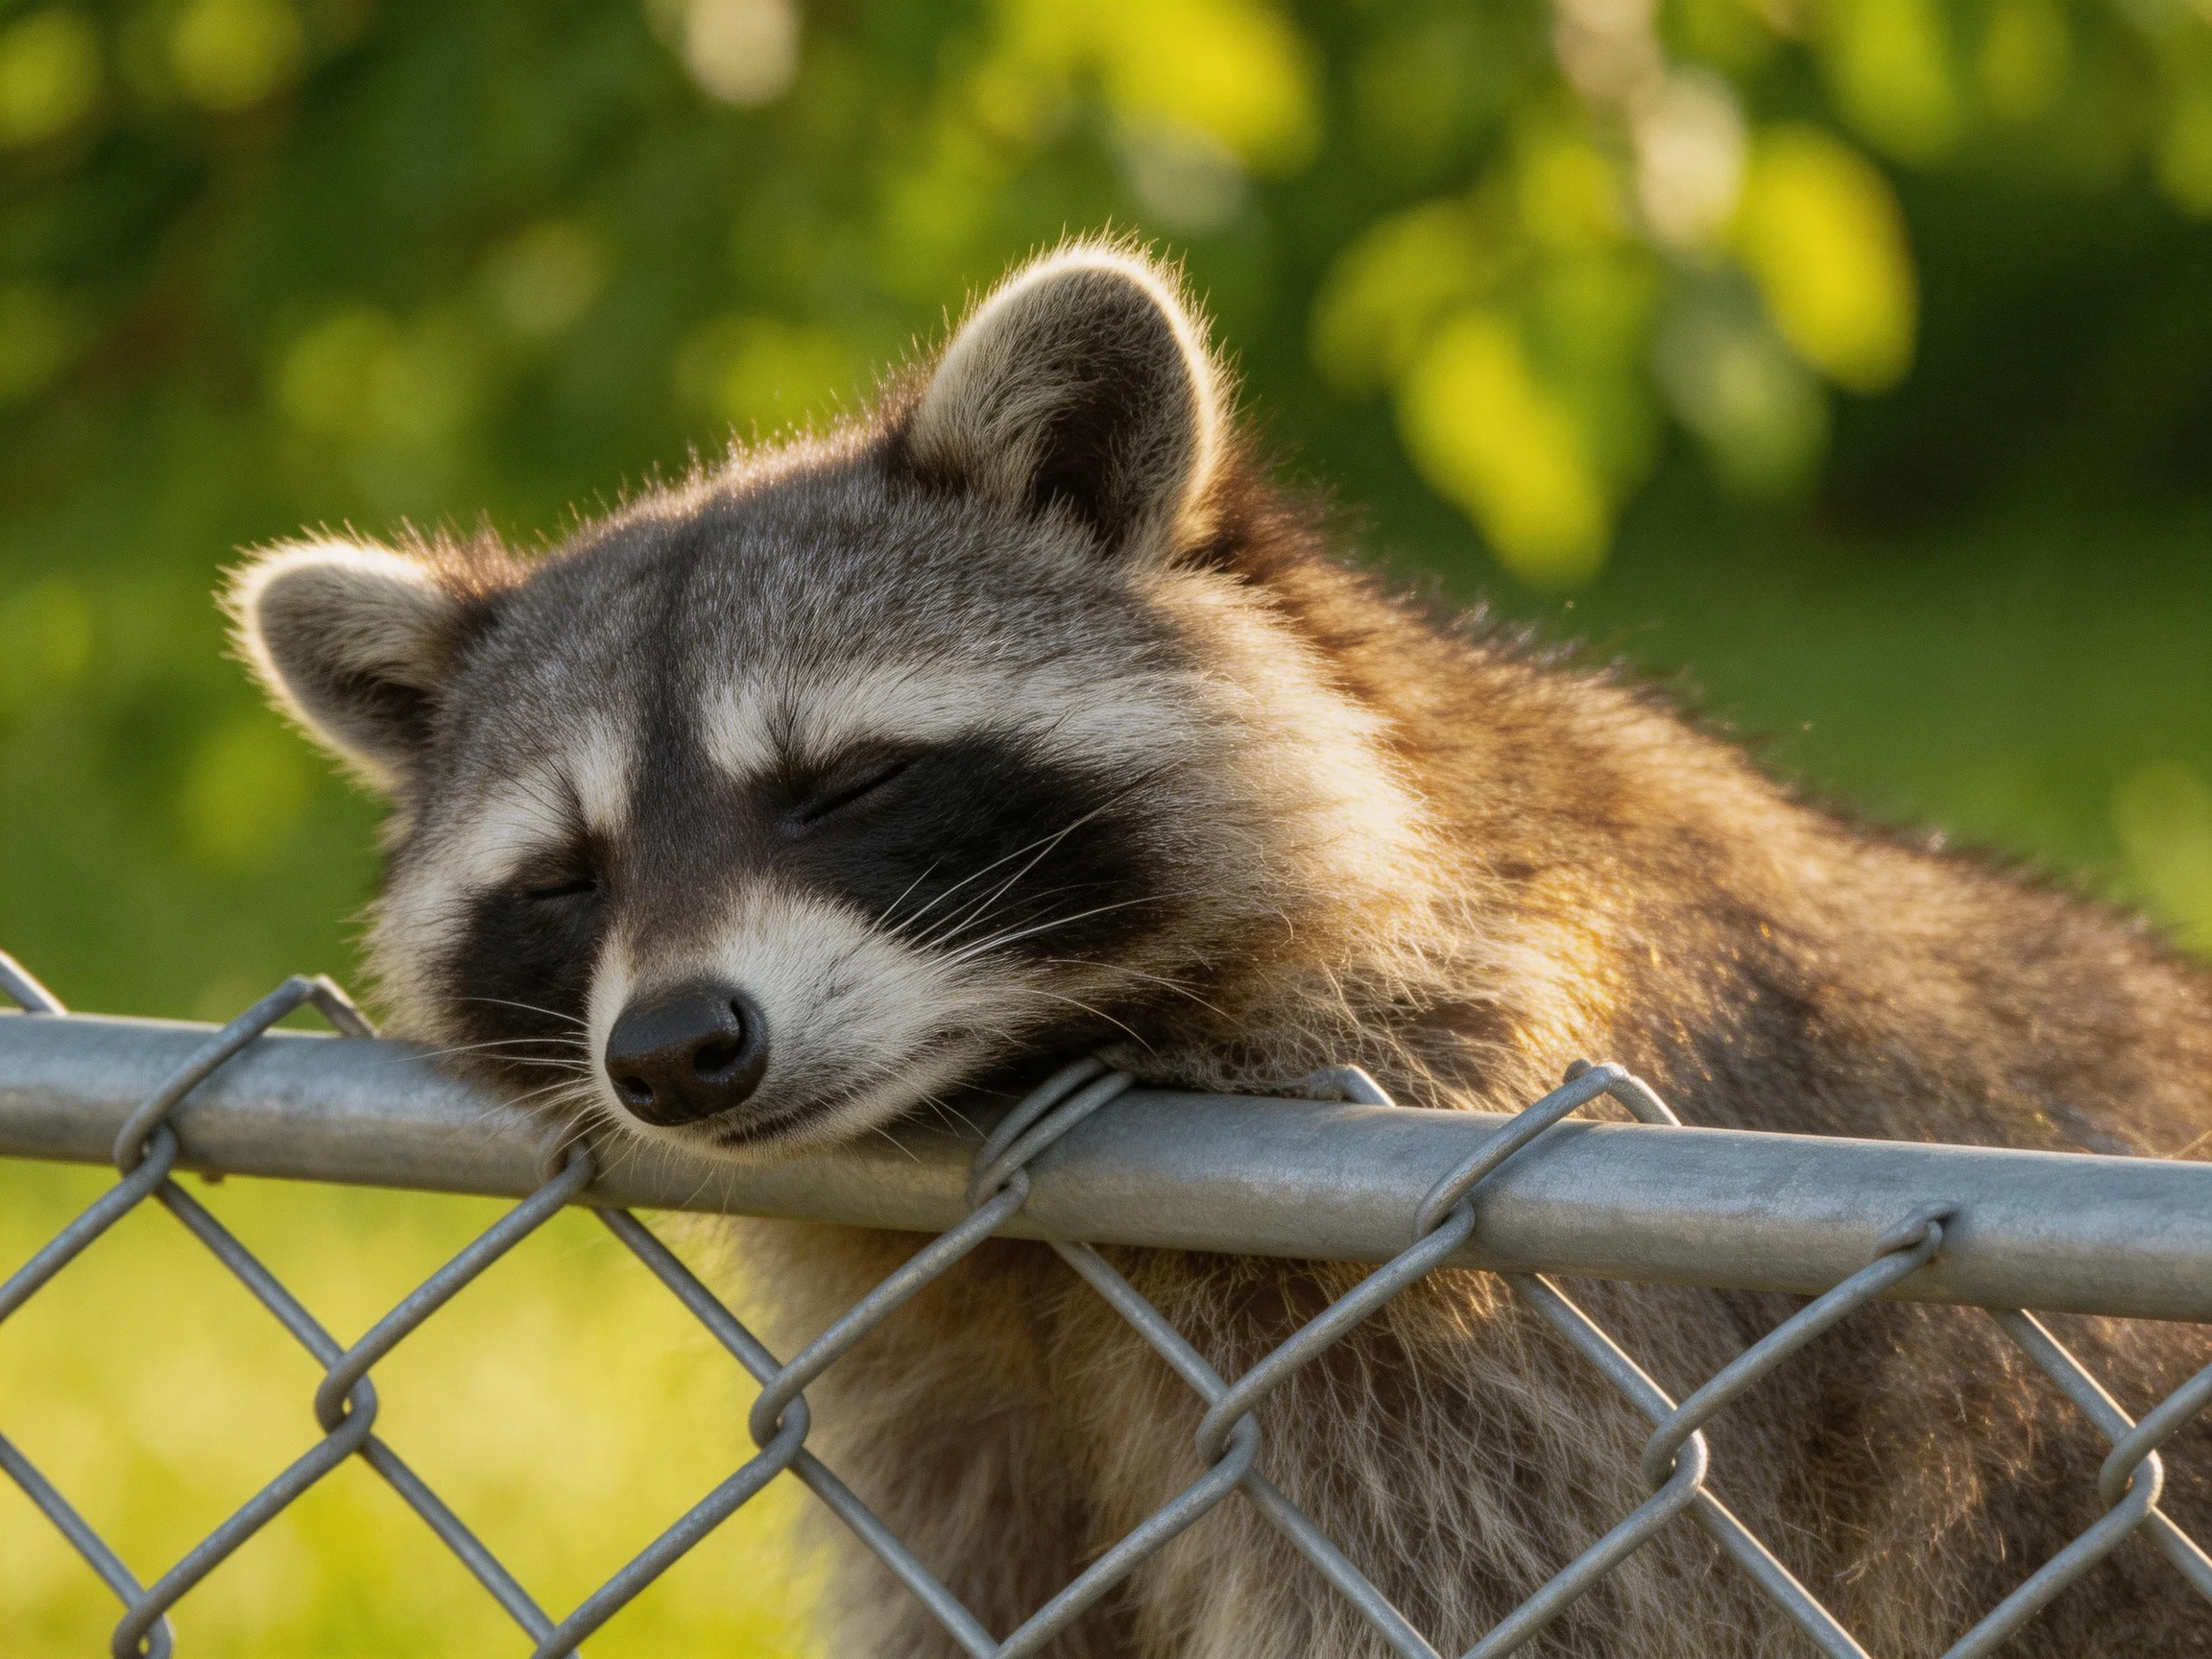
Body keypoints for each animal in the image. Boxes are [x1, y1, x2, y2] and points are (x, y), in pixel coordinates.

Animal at [230, 244, 2212, 1657]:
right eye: (566, 877)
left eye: (846, 783)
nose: (670, 1048)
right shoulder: (938, 1371)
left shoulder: (1501, 1314)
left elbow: (1536, 1604)